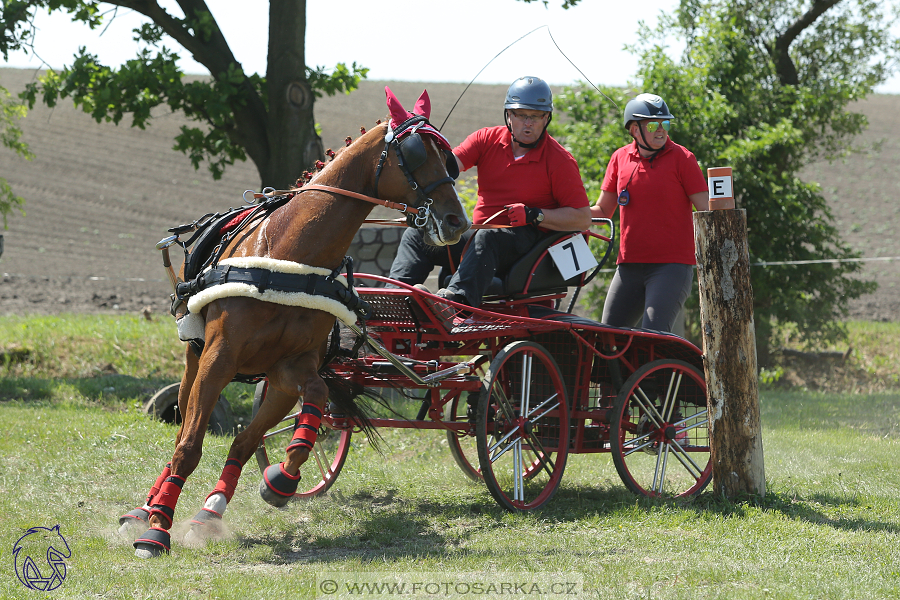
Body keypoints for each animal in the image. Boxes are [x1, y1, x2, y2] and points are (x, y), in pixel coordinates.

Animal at [119, 88, 468, 556]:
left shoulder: (290, 370)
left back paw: (207, 510)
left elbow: (298, 411)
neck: (288, 256)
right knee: (182, 435)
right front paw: (157, 528)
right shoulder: (219, 358)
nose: (456, 221)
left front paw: (279, 480)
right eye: (414, 154)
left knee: (246, 437)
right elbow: (190, 445)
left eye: (448, 157)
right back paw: (147, 508)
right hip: (195, 361)